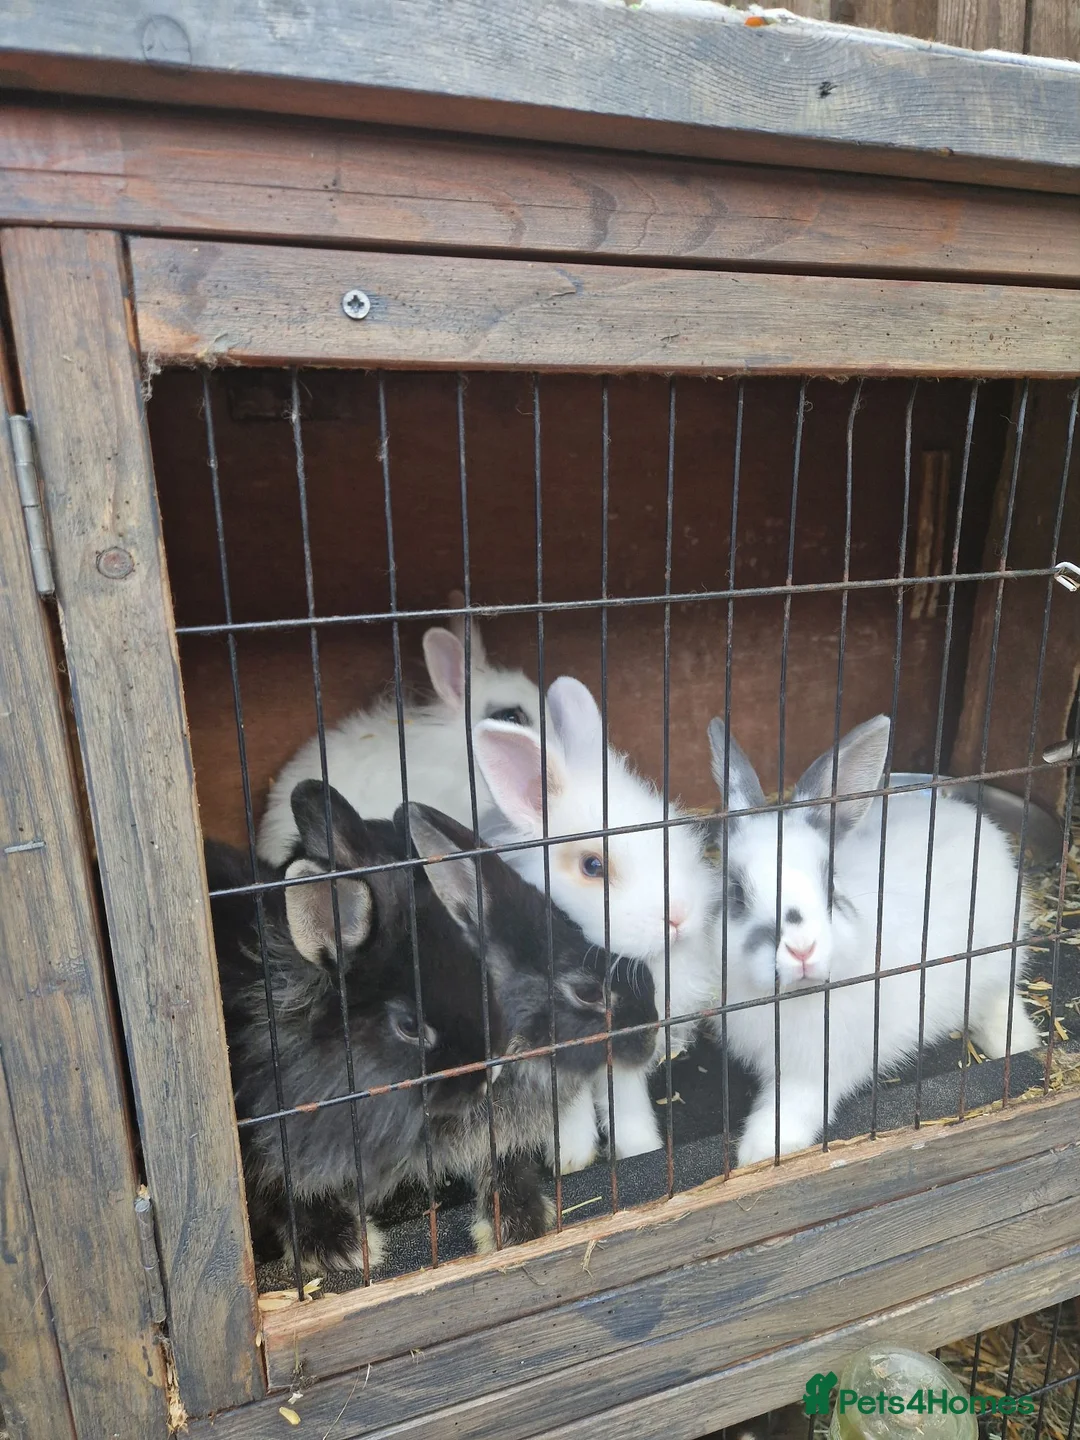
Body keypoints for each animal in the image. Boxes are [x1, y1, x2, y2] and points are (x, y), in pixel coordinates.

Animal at [473, 675, 718, 1172]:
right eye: (592, 865)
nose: (679, 915)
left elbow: (627, 1100)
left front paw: (640, 1148)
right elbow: (568, 1110)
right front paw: (571, 1159)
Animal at [707, 713, 1042, 1169]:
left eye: (830, 886)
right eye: (737, 894)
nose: (801, 949)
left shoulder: (818, 1068)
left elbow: (793, 1106)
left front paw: (760, 1152)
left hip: (996, 957)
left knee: (999, 999)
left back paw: (1020, 1042)